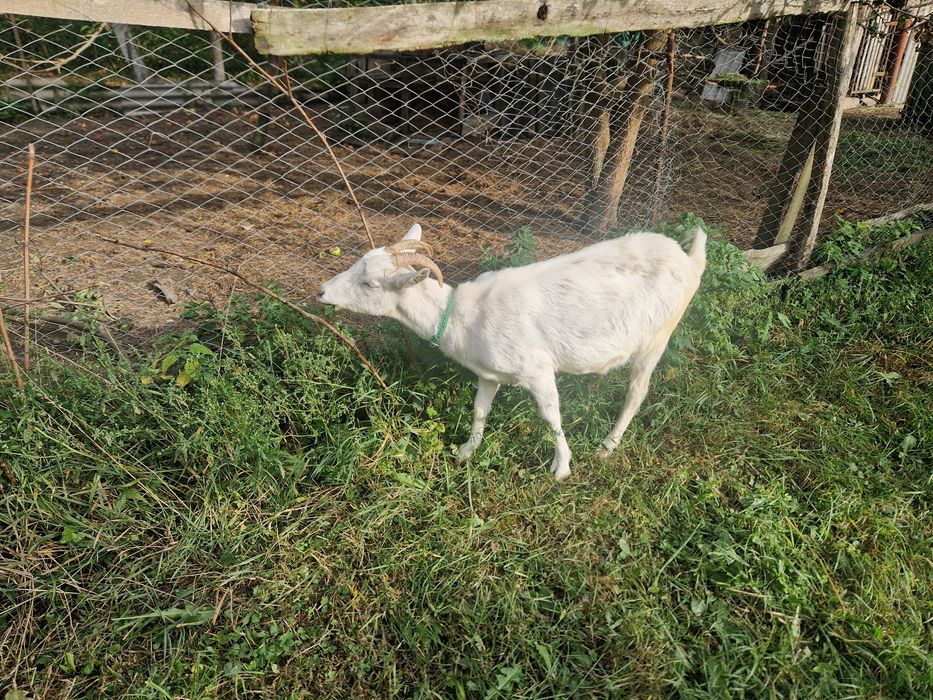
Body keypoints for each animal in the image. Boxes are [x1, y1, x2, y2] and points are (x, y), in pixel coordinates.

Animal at [317, 223, 706, 481]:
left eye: (370, 283)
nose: (321, 291)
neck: (461, 316)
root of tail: (689, 260)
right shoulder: (489, 373)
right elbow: (479, 410)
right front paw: (466, 451)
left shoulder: (536, 369)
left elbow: (551, 417)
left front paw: (562, 467)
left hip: (657, 336)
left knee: (637, 393)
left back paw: (608, 445)